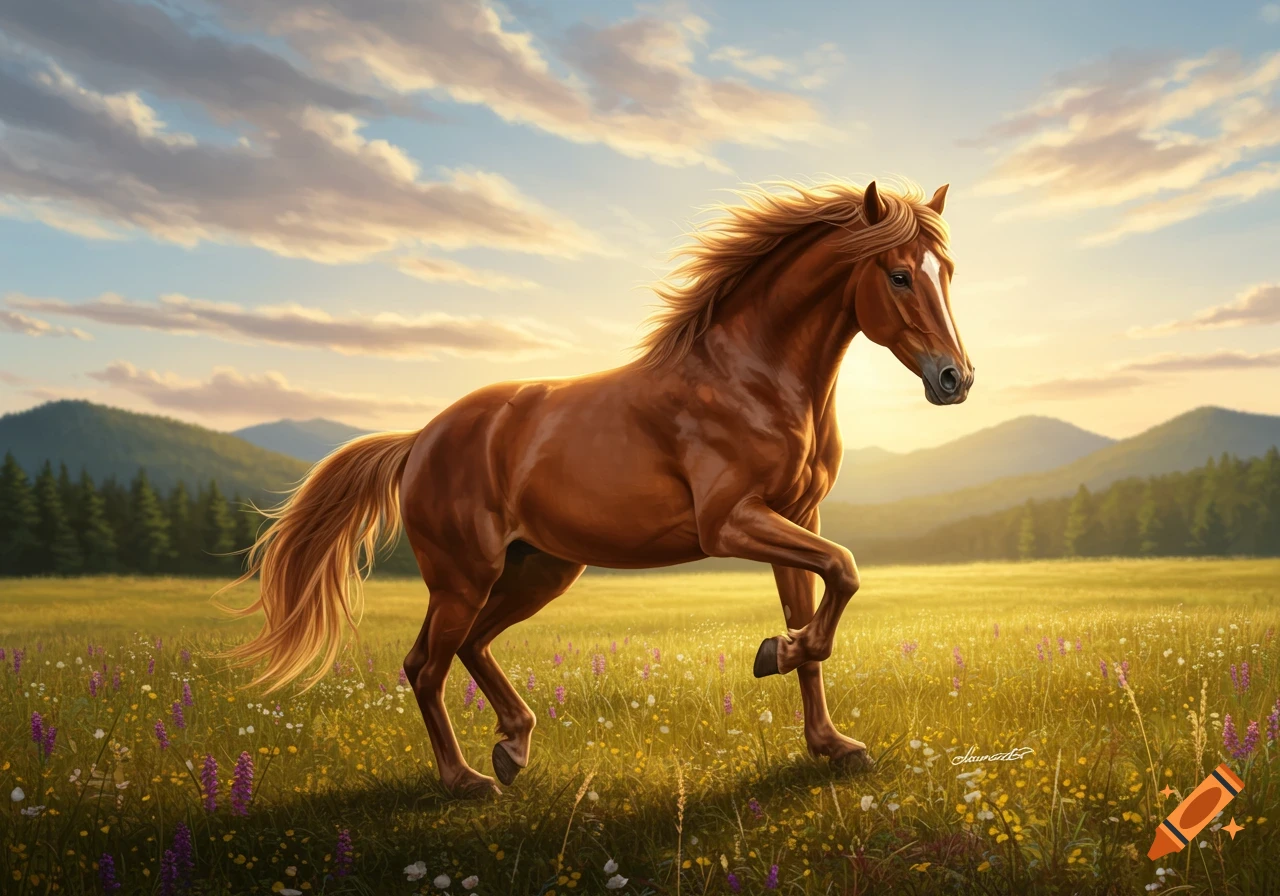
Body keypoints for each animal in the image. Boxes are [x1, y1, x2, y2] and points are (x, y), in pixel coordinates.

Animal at [223, 178, 974, 798]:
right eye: (899, 275)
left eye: (948, 273)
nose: (955, 380)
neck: (751, 377)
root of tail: (420, 439)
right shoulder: (731, 521)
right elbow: (843, 573)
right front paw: (775, 656)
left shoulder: (798, 517)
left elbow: (817, 614)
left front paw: (831, 742)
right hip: (463, 577)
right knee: (424, 665)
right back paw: (466, 779)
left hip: (540, 570)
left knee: (470, 647)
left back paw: (514, 747)